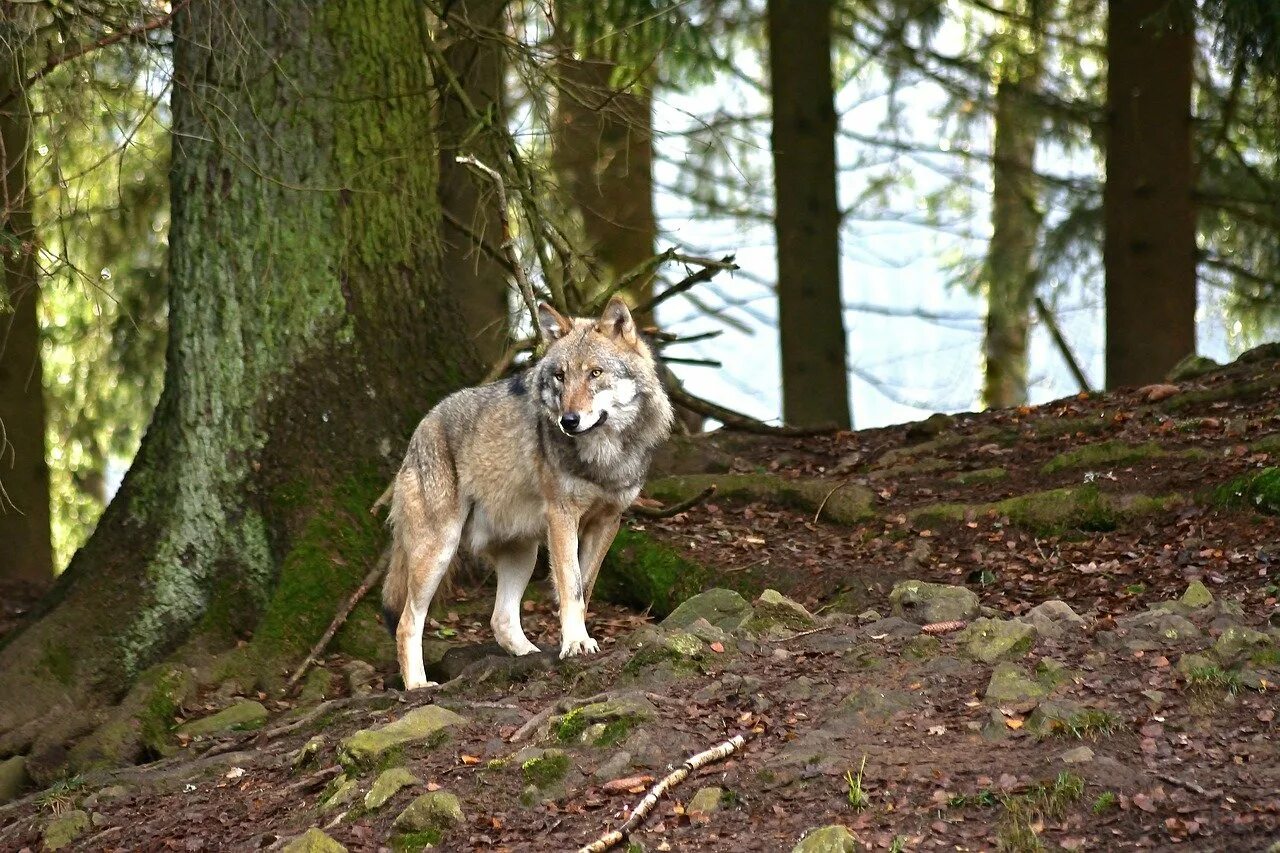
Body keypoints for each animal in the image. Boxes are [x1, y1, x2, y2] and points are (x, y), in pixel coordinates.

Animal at [378, 295, 675, 686]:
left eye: (595, 373)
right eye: (560, 376)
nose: (568, 421)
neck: (603, 456)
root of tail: (422, 426)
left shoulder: (607, 522)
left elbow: (584, 588)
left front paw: (576, 641)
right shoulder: (563, 517)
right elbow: (570, 586)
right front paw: (576, 643)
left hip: (523, 552)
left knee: (500, 619)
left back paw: (530, 656)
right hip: (439, 550)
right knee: (407, 623)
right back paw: (417, 685)